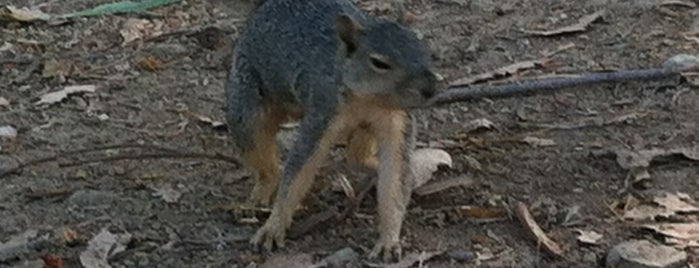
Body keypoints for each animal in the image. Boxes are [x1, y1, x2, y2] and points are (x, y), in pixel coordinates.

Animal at [224, 0, 440, 260]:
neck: (369, 100)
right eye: (379, 63)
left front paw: (389, 240)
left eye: (426, 51)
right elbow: (297, 172)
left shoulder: (397, 123)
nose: (431, 88)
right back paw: (263, 190)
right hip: (246, 105)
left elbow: (395, 180)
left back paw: (378, 167)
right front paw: (273, 227)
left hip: (366, 129)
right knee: (265, 161)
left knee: (357, 157)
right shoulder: (321, 113)